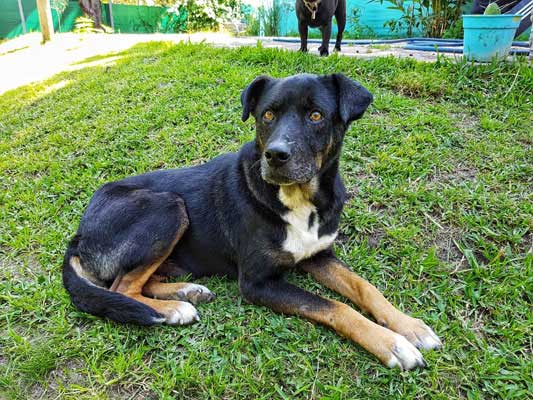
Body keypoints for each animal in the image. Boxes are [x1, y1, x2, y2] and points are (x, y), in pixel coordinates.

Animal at [62, 73, 440, 370]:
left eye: (316, 115)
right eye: (268, 114)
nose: (275, 155)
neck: (297, 199)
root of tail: (79, 234)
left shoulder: (319, 255)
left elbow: (364, 287)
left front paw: (410, 326)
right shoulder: (258, 282)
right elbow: (336, 307)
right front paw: (391, 344)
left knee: (138, 283)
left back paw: (186, 291)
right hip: (168, 206)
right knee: (121, 288)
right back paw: (172, 310)